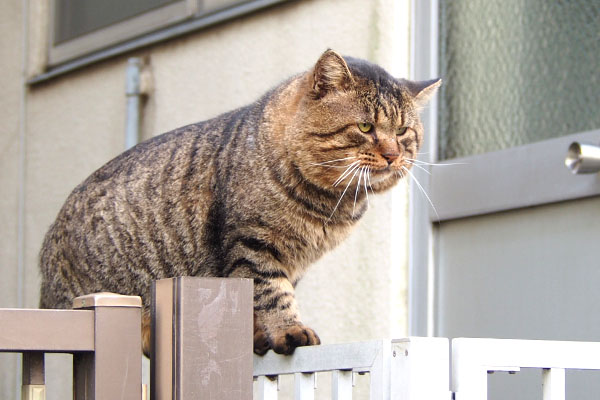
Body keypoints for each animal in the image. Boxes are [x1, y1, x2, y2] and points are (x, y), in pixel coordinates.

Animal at [38, 50, 440, 356]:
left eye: (402, 132)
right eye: (366, 127)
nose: (392, 155)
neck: (329, 205)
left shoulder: (290, 263)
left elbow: (259, 302)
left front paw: (260, 336)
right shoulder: (253, 244)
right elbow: (271, 293)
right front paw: (287, 330)